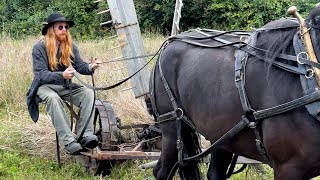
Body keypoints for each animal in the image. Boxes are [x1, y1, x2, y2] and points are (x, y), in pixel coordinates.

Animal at [149, 5, 320, 180]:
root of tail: (170, 43)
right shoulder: (287, 168)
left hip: (220, 133)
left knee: (215, 173)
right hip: (172, 127)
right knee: (161, 171)